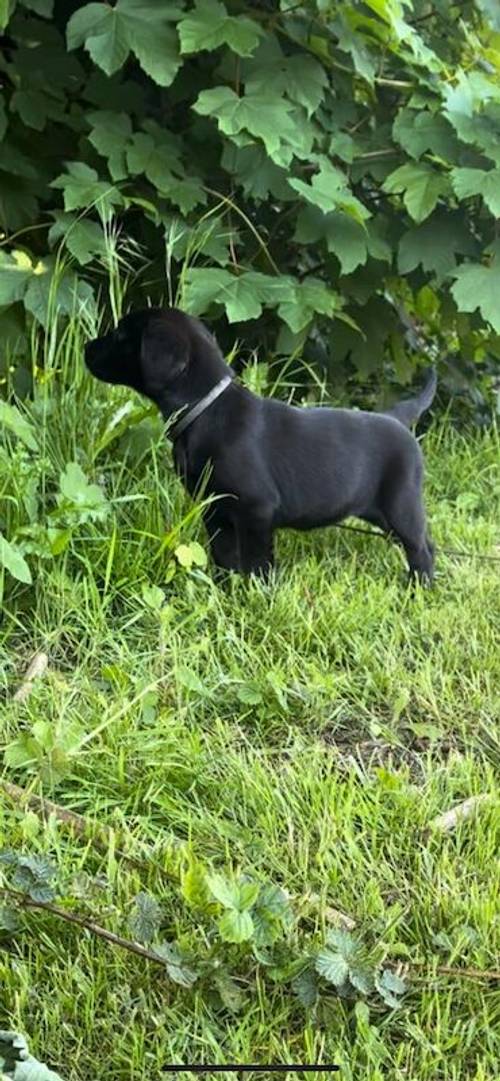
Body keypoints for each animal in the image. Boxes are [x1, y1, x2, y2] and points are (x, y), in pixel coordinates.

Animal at [86, 307, 438, 583]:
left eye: (120, 335)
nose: (87, 346)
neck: (205, 408)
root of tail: (397, 417)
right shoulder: (215, 510)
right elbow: (223, 554)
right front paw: (224, 590)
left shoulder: (256, 510)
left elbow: (256, 562)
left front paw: (258, 595)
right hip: (381, 512)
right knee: (427, 543)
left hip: (401, 504)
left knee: (420, 547)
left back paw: (419, 587)